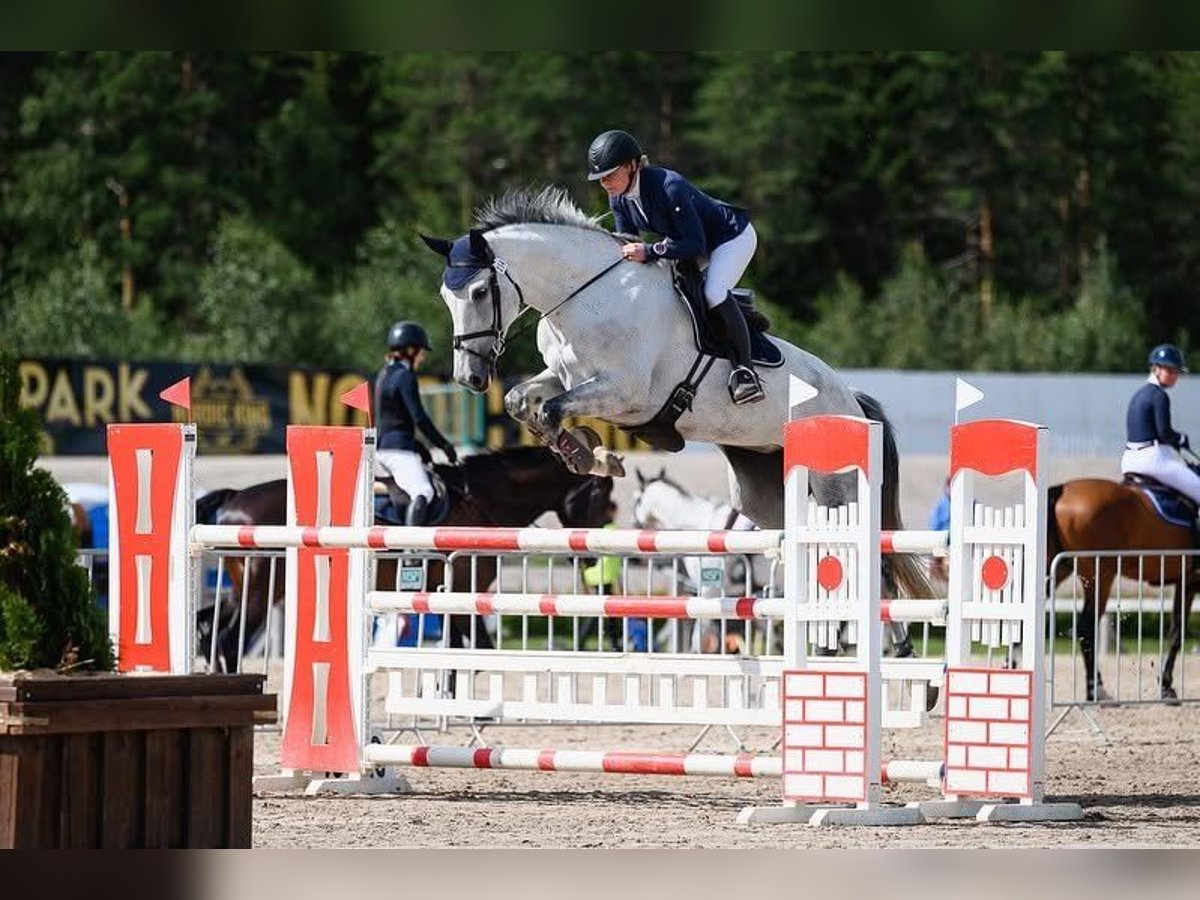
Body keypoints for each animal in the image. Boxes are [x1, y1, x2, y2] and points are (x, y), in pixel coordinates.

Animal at [198, 448, 614, 672]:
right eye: (600, 496)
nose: (591, 561)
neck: (482, 500)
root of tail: (235, 499)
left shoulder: (452, 596)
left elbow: (463, 655)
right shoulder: (464, 590)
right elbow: (477, 654)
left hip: (245, 586)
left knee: (210, 629)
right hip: (263, 589)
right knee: (228, 639)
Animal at [1046, 480, 1195, 705]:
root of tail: (1063, 489)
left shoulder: (1185, 580)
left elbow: (1176, 630)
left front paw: (1166, 687)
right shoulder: (1192, 580)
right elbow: (1178, 633)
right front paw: (1167, 687)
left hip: (1059, 569)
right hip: (1101, 575)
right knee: (1086, 628)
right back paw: (1097, 691)